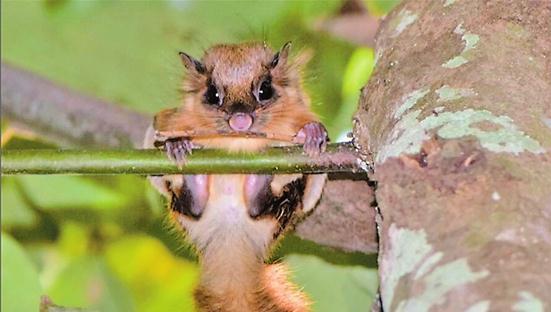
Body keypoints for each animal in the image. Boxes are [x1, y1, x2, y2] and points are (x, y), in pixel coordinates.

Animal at [144, 42, 330, 312]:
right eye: (213, 95)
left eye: (264, 90)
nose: (240, 120)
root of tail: (231, 234)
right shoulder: (165, 121)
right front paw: (177, 142)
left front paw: (312, 132)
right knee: (191, 205)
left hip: (297, 199)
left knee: (262, 204)